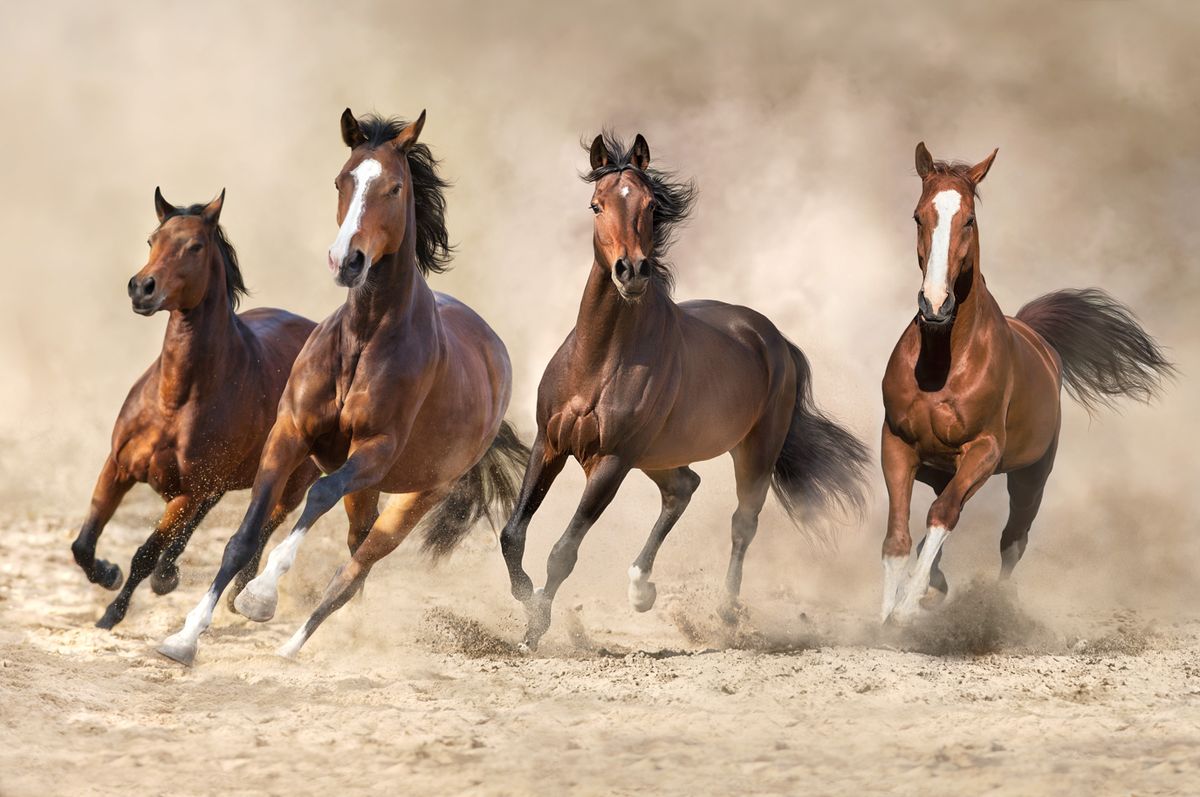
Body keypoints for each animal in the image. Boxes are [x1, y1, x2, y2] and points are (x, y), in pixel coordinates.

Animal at [71, 188, 319, 629]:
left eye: (195, 246)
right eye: (152, 240)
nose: (142, 288)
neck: (175, 399)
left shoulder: (188, 492)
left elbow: (145, 553)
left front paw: (112, 613)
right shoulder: (118, 467)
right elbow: (84, 543)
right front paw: (109, 574)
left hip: (290, 482)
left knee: (266, 525)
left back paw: (243, 595)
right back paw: (171, 575)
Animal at [157, 110, 528, 666]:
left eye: (395, 187)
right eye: (342, 180)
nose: (347, 260)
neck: (364, 338)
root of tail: (494, 354)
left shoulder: (373, 451)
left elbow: (319, 495)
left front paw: (260, 597)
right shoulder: (288, 434)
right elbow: (242, 539)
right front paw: (184, 639)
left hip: (413, 496)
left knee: (354, 569)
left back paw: (291, 646)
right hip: (370, 491)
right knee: (356, 552)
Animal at [499, 132, 869, 652]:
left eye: (652, 206)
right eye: (596, 205)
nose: (631, 271)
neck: (599, 359)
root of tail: (773, 338)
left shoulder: (611, 461)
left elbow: (563, 551)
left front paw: (534, 629)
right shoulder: (549, 444)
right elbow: (513, 534)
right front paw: (525, 598)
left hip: (751, 453)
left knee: (741, 524)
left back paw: (726, 615)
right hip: (656, 456)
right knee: (683, 488)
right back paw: (641, 589)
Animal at [879, 142, 1174, 624]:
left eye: (969, 220)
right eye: (919, 216)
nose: (936, 304)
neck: (943, 363)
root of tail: (1039, 337)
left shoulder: (984, 450)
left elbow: (942, 516)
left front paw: (904, 611)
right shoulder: (898, 443)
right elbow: (898, 537)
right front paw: (887, 615)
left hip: (1031, 476)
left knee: (1011, 540)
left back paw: (992, 606)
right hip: (943, 470)